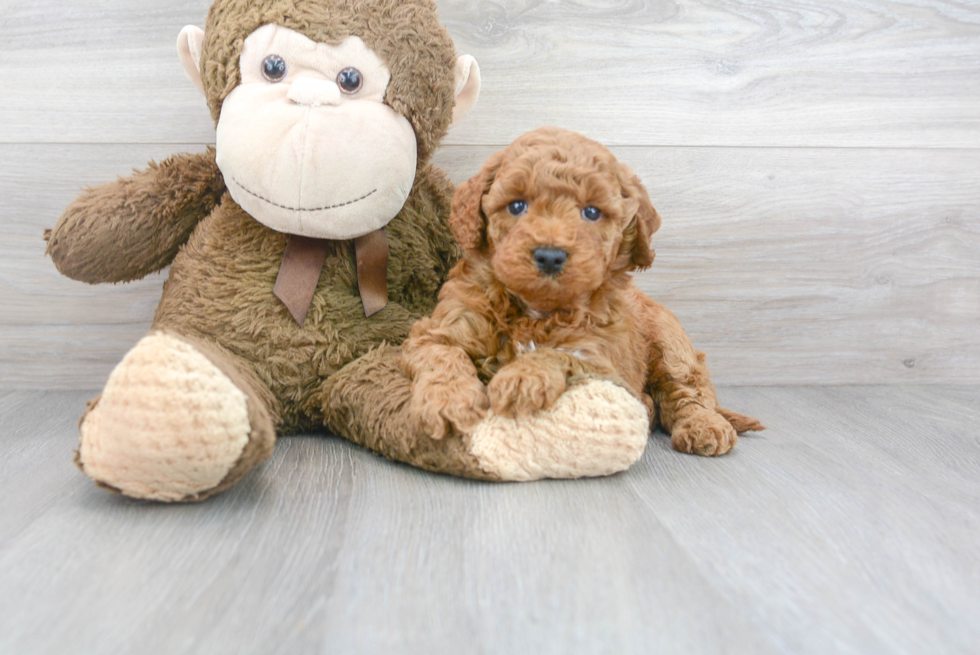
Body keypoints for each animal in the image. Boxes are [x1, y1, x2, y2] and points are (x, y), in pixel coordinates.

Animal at [400, 127, 764, 456]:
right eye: (517, 206)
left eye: (591, 212)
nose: (550, 255)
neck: (536, 310)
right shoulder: (443, 327)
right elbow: (444, 354)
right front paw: (448, 402)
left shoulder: (604, 358)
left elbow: (562, 353)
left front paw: (521, 379)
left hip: (670, 342)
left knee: (688, 390)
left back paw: (705, 426)